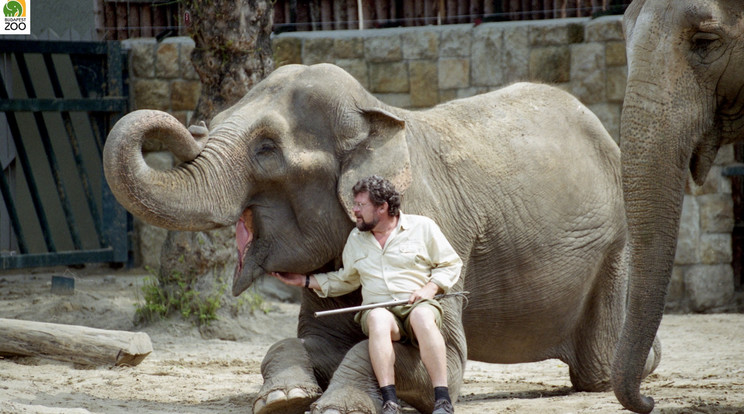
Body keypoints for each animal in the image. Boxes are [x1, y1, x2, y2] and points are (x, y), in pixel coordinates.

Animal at [100, 64, 664, 414]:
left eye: (266, 150)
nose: (190, 127)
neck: (379, 114)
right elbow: (309, 339)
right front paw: (285, 398)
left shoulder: (439, 221)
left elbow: (443, 356)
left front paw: (336, 406)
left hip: (616, 247)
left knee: (594, 367)